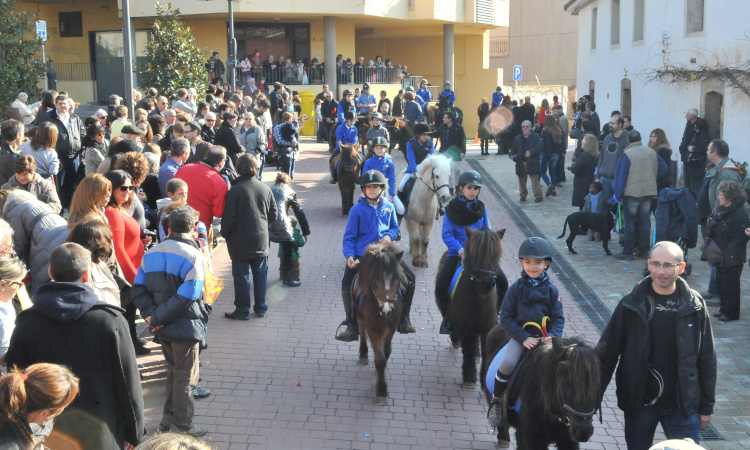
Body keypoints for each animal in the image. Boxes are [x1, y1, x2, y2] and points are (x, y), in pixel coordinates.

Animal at [354, 244, 406, 406]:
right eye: (376, 278)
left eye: (397, 277)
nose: (386, 309)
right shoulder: (374, 329)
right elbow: (380, 359)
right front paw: (381, 390)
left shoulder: (392, 327)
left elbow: (386, 352)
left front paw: (379, 376)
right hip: (359, 316)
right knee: (361, 329)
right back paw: (363, 353)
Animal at [434, 229, 512, 386]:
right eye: (476, 254)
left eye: (496, 254)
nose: (487, 283)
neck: (478, 300)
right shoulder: (466, 325)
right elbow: (468, 349)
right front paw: (469, 377)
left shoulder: (487, 325)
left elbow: (486, 350)